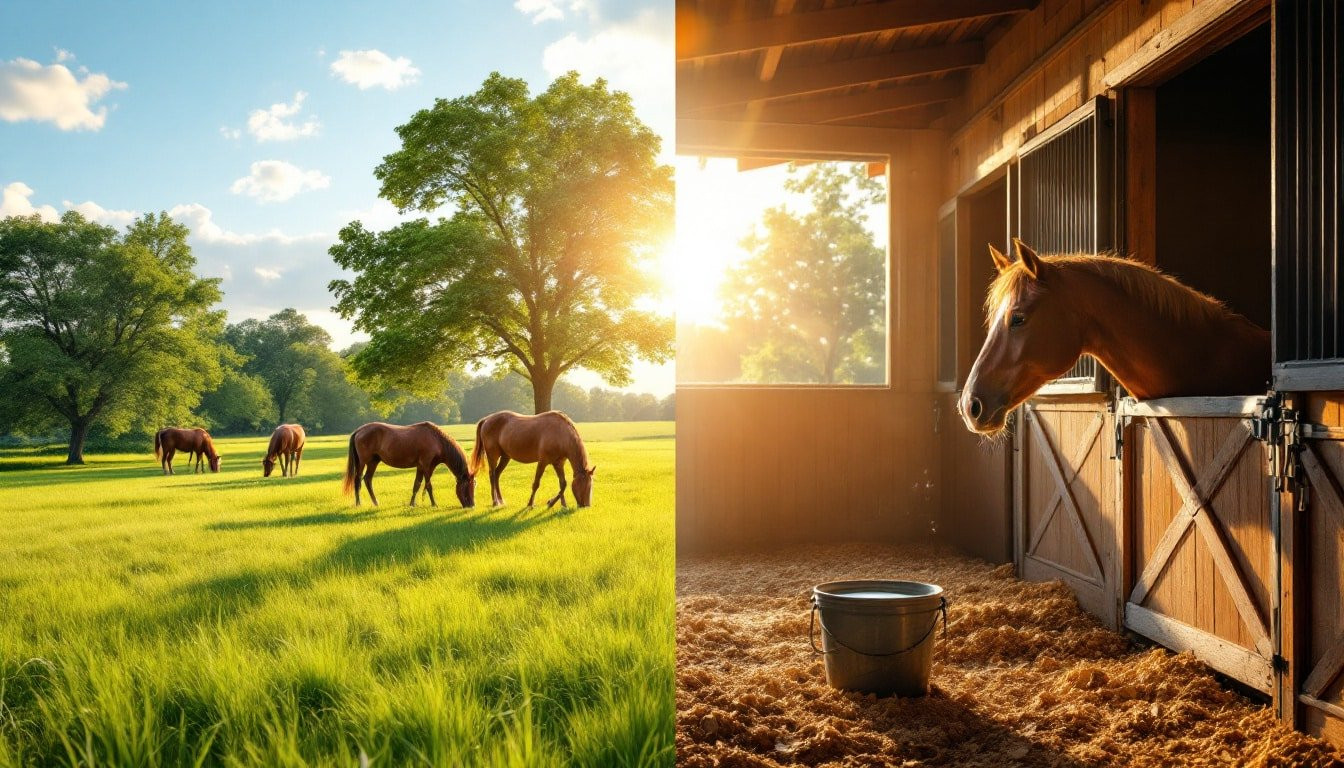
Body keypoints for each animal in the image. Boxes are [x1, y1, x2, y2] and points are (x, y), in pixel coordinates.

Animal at [342, 422, 475, 507]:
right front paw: (434, 504)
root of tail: (359, 430)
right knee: (358, 480)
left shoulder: (421, 467)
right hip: (363, 461)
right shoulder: (427, 465)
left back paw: (375, 502)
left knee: (367, 479)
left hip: (373, 461)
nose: (472, 505)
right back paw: (358, 503)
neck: (437, 441)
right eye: (468, 486)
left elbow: (417, 484)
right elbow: (429, 485)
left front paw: (412, 504)